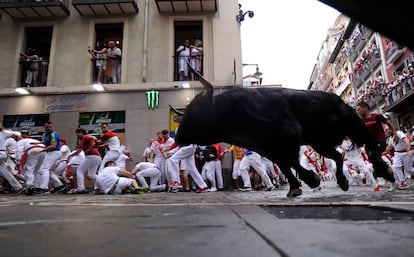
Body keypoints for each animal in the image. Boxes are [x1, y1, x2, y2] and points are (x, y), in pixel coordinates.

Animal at [174, 68, 394, 196]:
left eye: (197, 109)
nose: (179, 137)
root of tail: (337, 99)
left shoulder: (288, 138)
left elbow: (291, 162)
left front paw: (309, 180)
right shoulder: (269, 148)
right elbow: (286, 165)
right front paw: (298, 185)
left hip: (354, 125)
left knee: (370, 145)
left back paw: (385, 172)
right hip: (320, 143)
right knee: (338, 157)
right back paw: (342, 181)